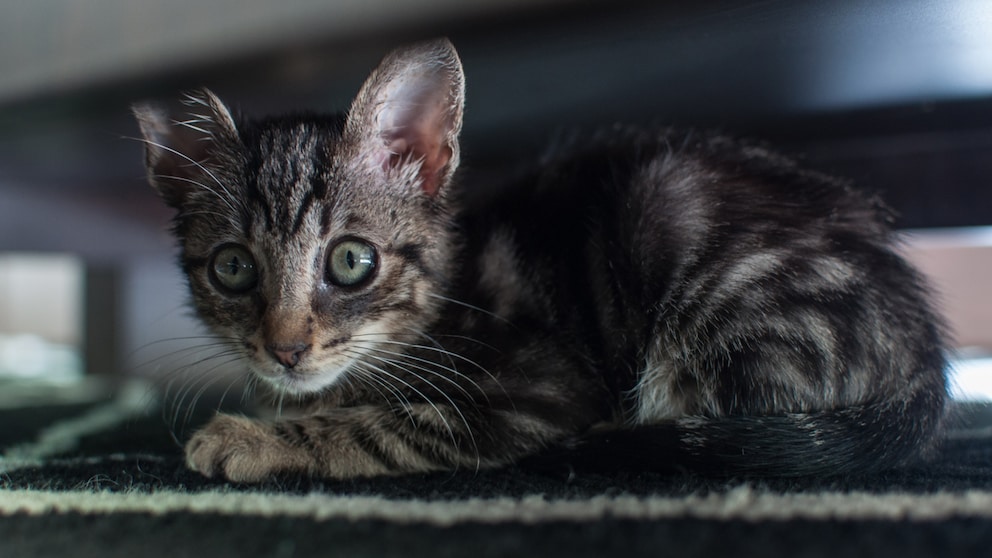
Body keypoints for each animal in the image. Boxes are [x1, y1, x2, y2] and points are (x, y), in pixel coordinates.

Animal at [132, 38, 944, 486]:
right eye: (233, 269)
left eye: (352, 261)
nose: (286, 348)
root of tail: (922, 347)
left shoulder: (536, 396)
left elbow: (382, 426)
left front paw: (248, 438)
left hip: (680, 235)